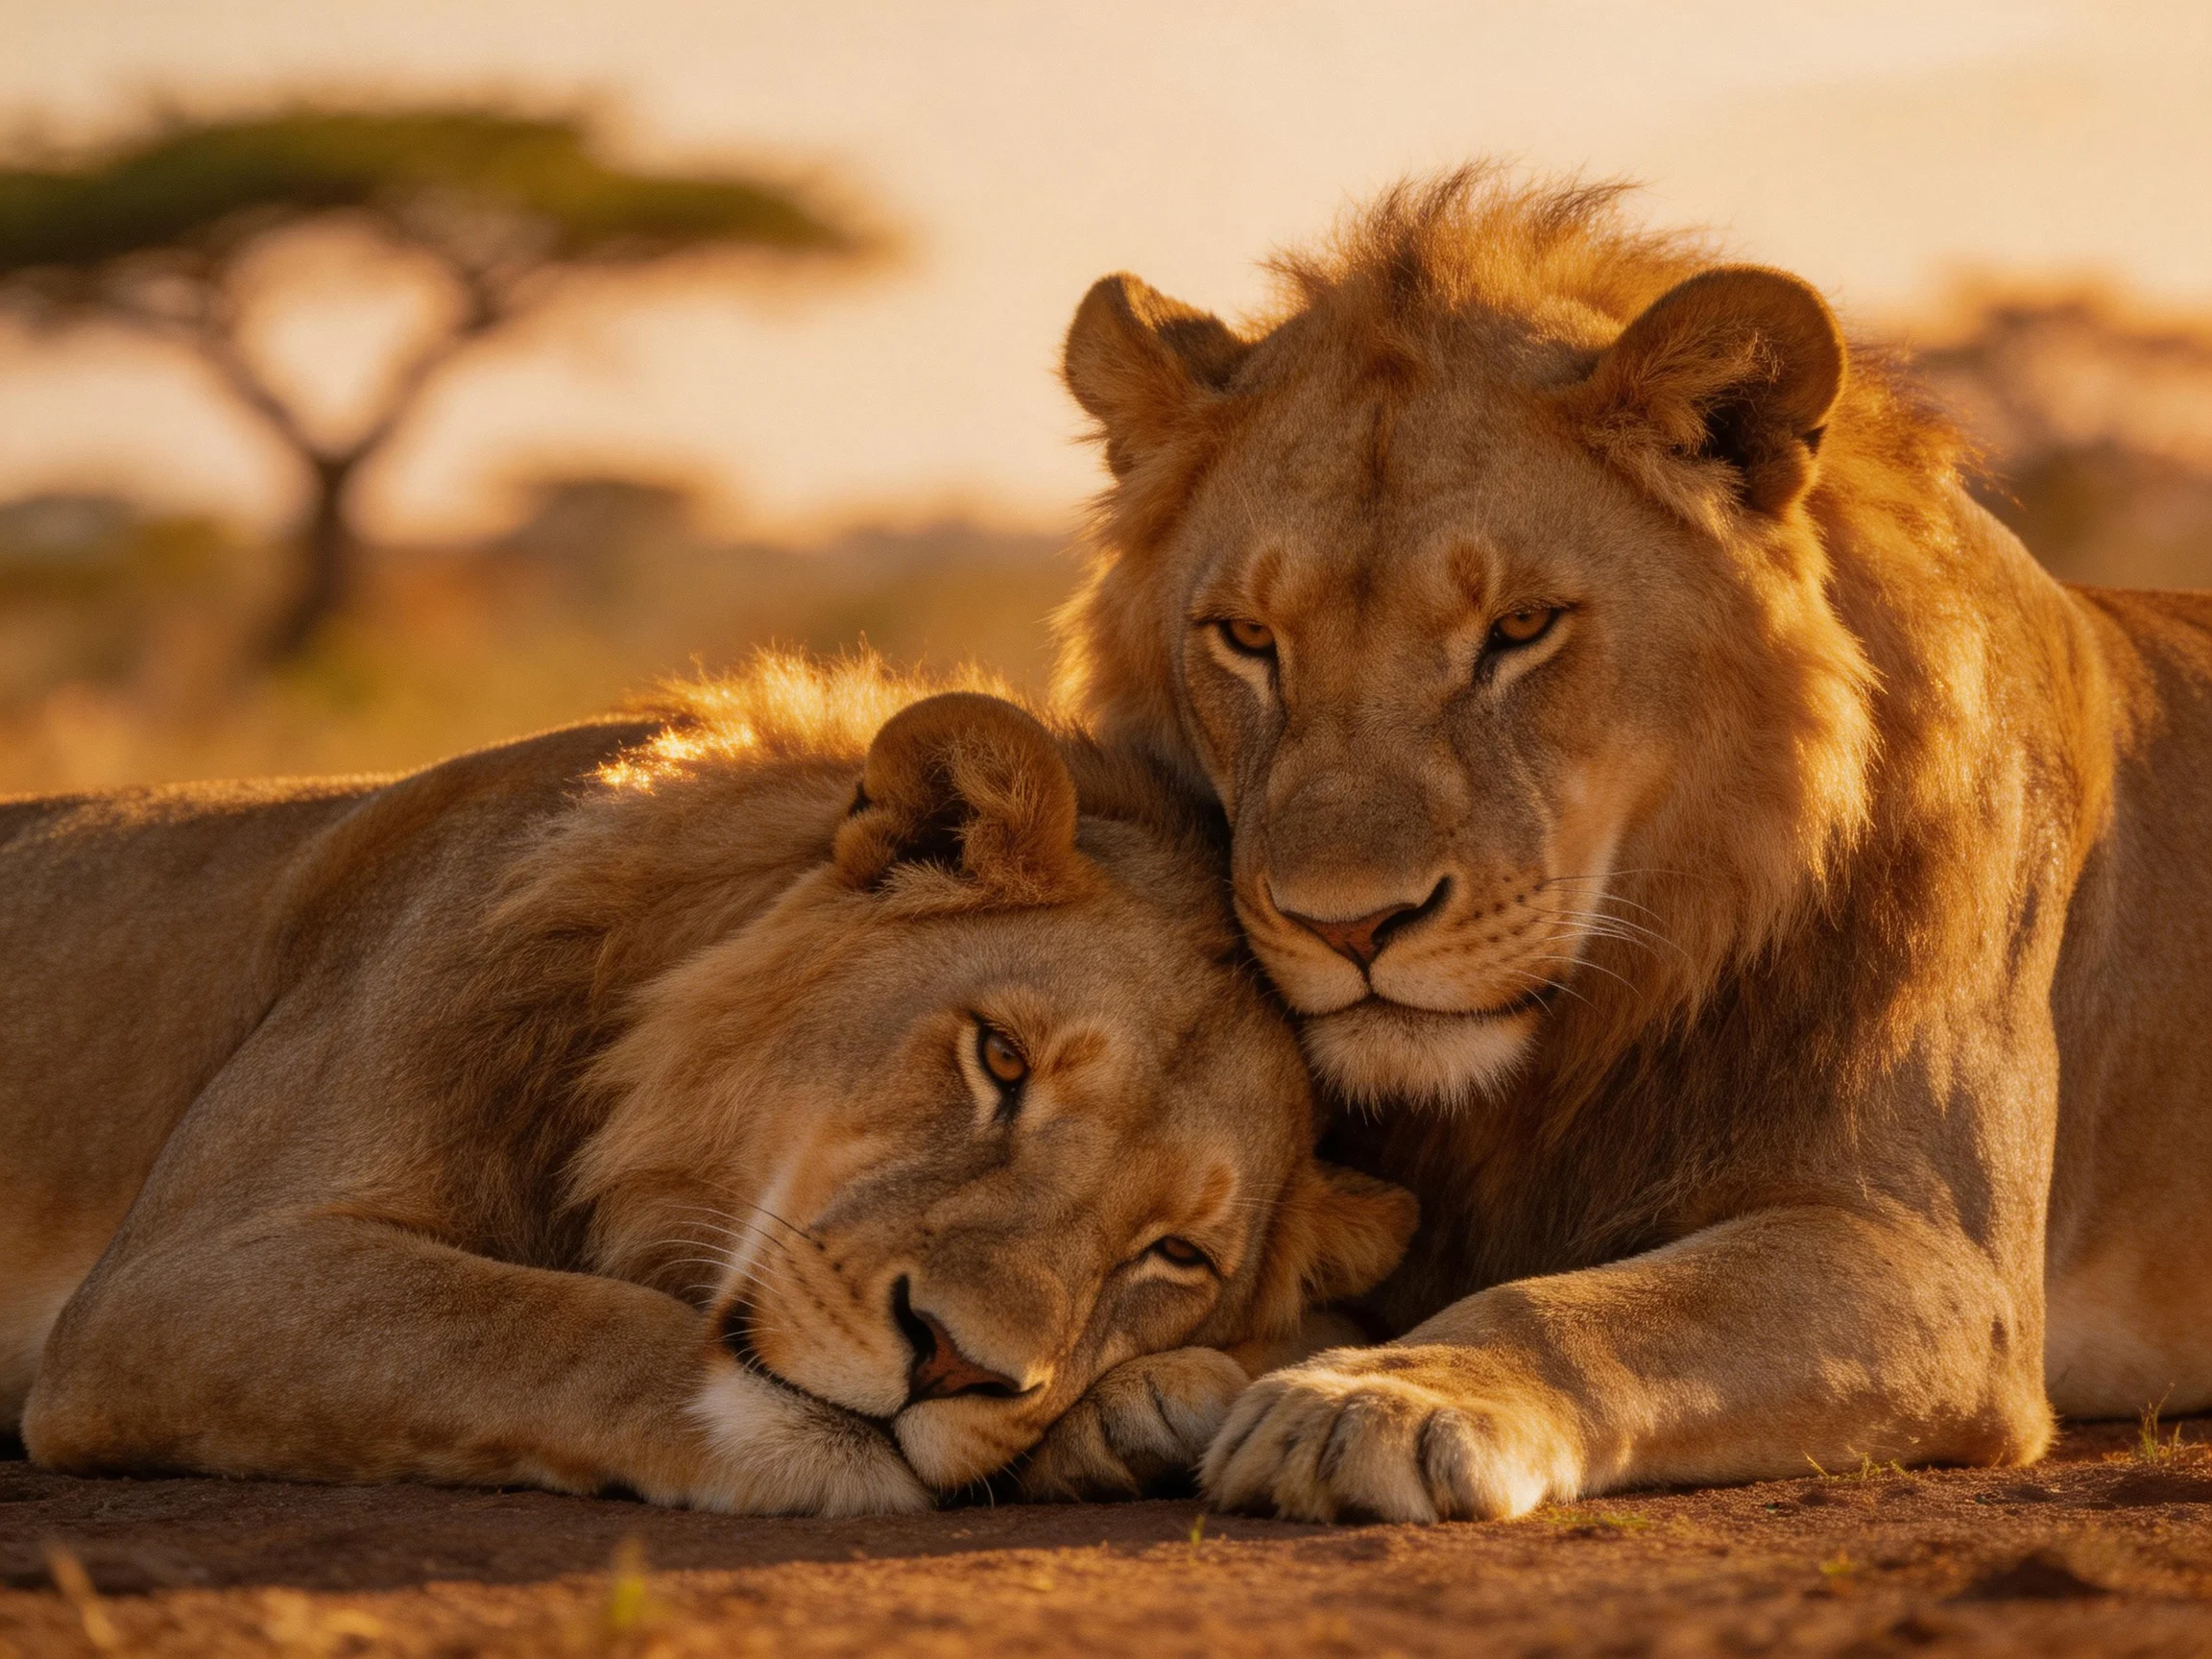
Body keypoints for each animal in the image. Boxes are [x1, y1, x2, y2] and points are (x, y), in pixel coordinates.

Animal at [1, 658, 1415, 1515]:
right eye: (1001, 1063)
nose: (956, 1363)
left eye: (1175, 1255)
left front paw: (1153, 1403)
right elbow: (540, 1321)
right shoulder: (183, 1278)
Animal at [1054, 167, 2212, 1523]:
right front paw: (1146, 1384)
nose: (1349, 923)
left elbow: (1585, 1309)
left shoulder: (1933, 1262)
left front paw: (1377, 1397)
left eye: (1522, 627)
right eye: (1245, 637)